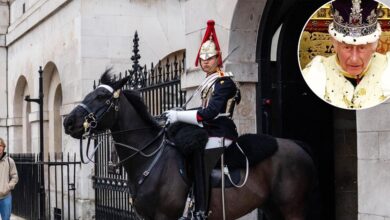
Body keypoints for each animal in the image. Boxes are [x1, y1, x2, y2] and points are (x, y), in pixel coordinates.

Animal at [64, 71, 318, 220]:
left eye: (101, 98)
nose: (68, 122)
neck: (148, 158)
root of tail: (296, 145)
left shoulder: (164, 217)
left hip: (292, 208)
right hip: (272, 207)